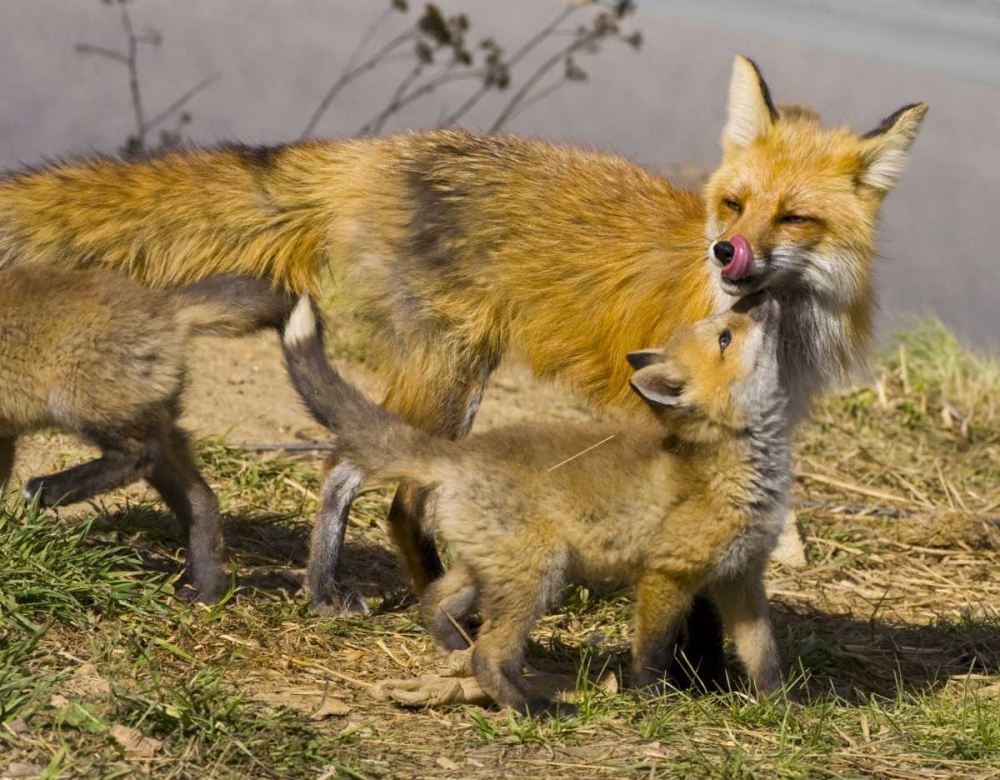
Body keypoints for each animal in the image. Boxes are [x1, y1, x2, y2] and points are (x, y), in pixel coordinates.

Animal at [0, 268, 292, 604]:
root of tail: (165, 304)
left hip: (80, 406)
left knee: (137, 456)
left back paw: (48, 489)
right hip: (159, 430)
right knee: (201, 498)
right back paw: (207, 589)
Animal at [286, 292, 792, 712]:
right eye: (725, 336)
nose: (760, 296)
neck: (734, 469)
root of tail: (458, 454)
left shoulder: (742, 577)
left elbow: (764, 656)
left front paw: (781, 708)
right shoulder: (666, 575)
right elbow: (652, 653)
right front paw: (652, 701)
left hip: (493, 567)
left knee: (436, 601)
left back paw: (456, 651)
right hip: (539, 574)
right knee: (490, 655)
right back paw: (533, 708)